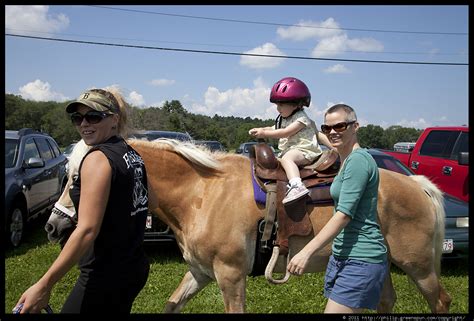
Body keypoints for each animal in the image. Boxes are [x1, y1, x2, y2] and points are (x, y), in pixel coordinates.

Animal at [45, 138, 452, 312]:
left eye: (79, 179)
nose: (53, 226)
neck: (201, 193)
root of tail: (418, 185)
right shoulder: (200, 273)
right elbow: (172, 305)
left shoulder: (230, 276)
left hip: (418, 267)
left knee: (440, 301)